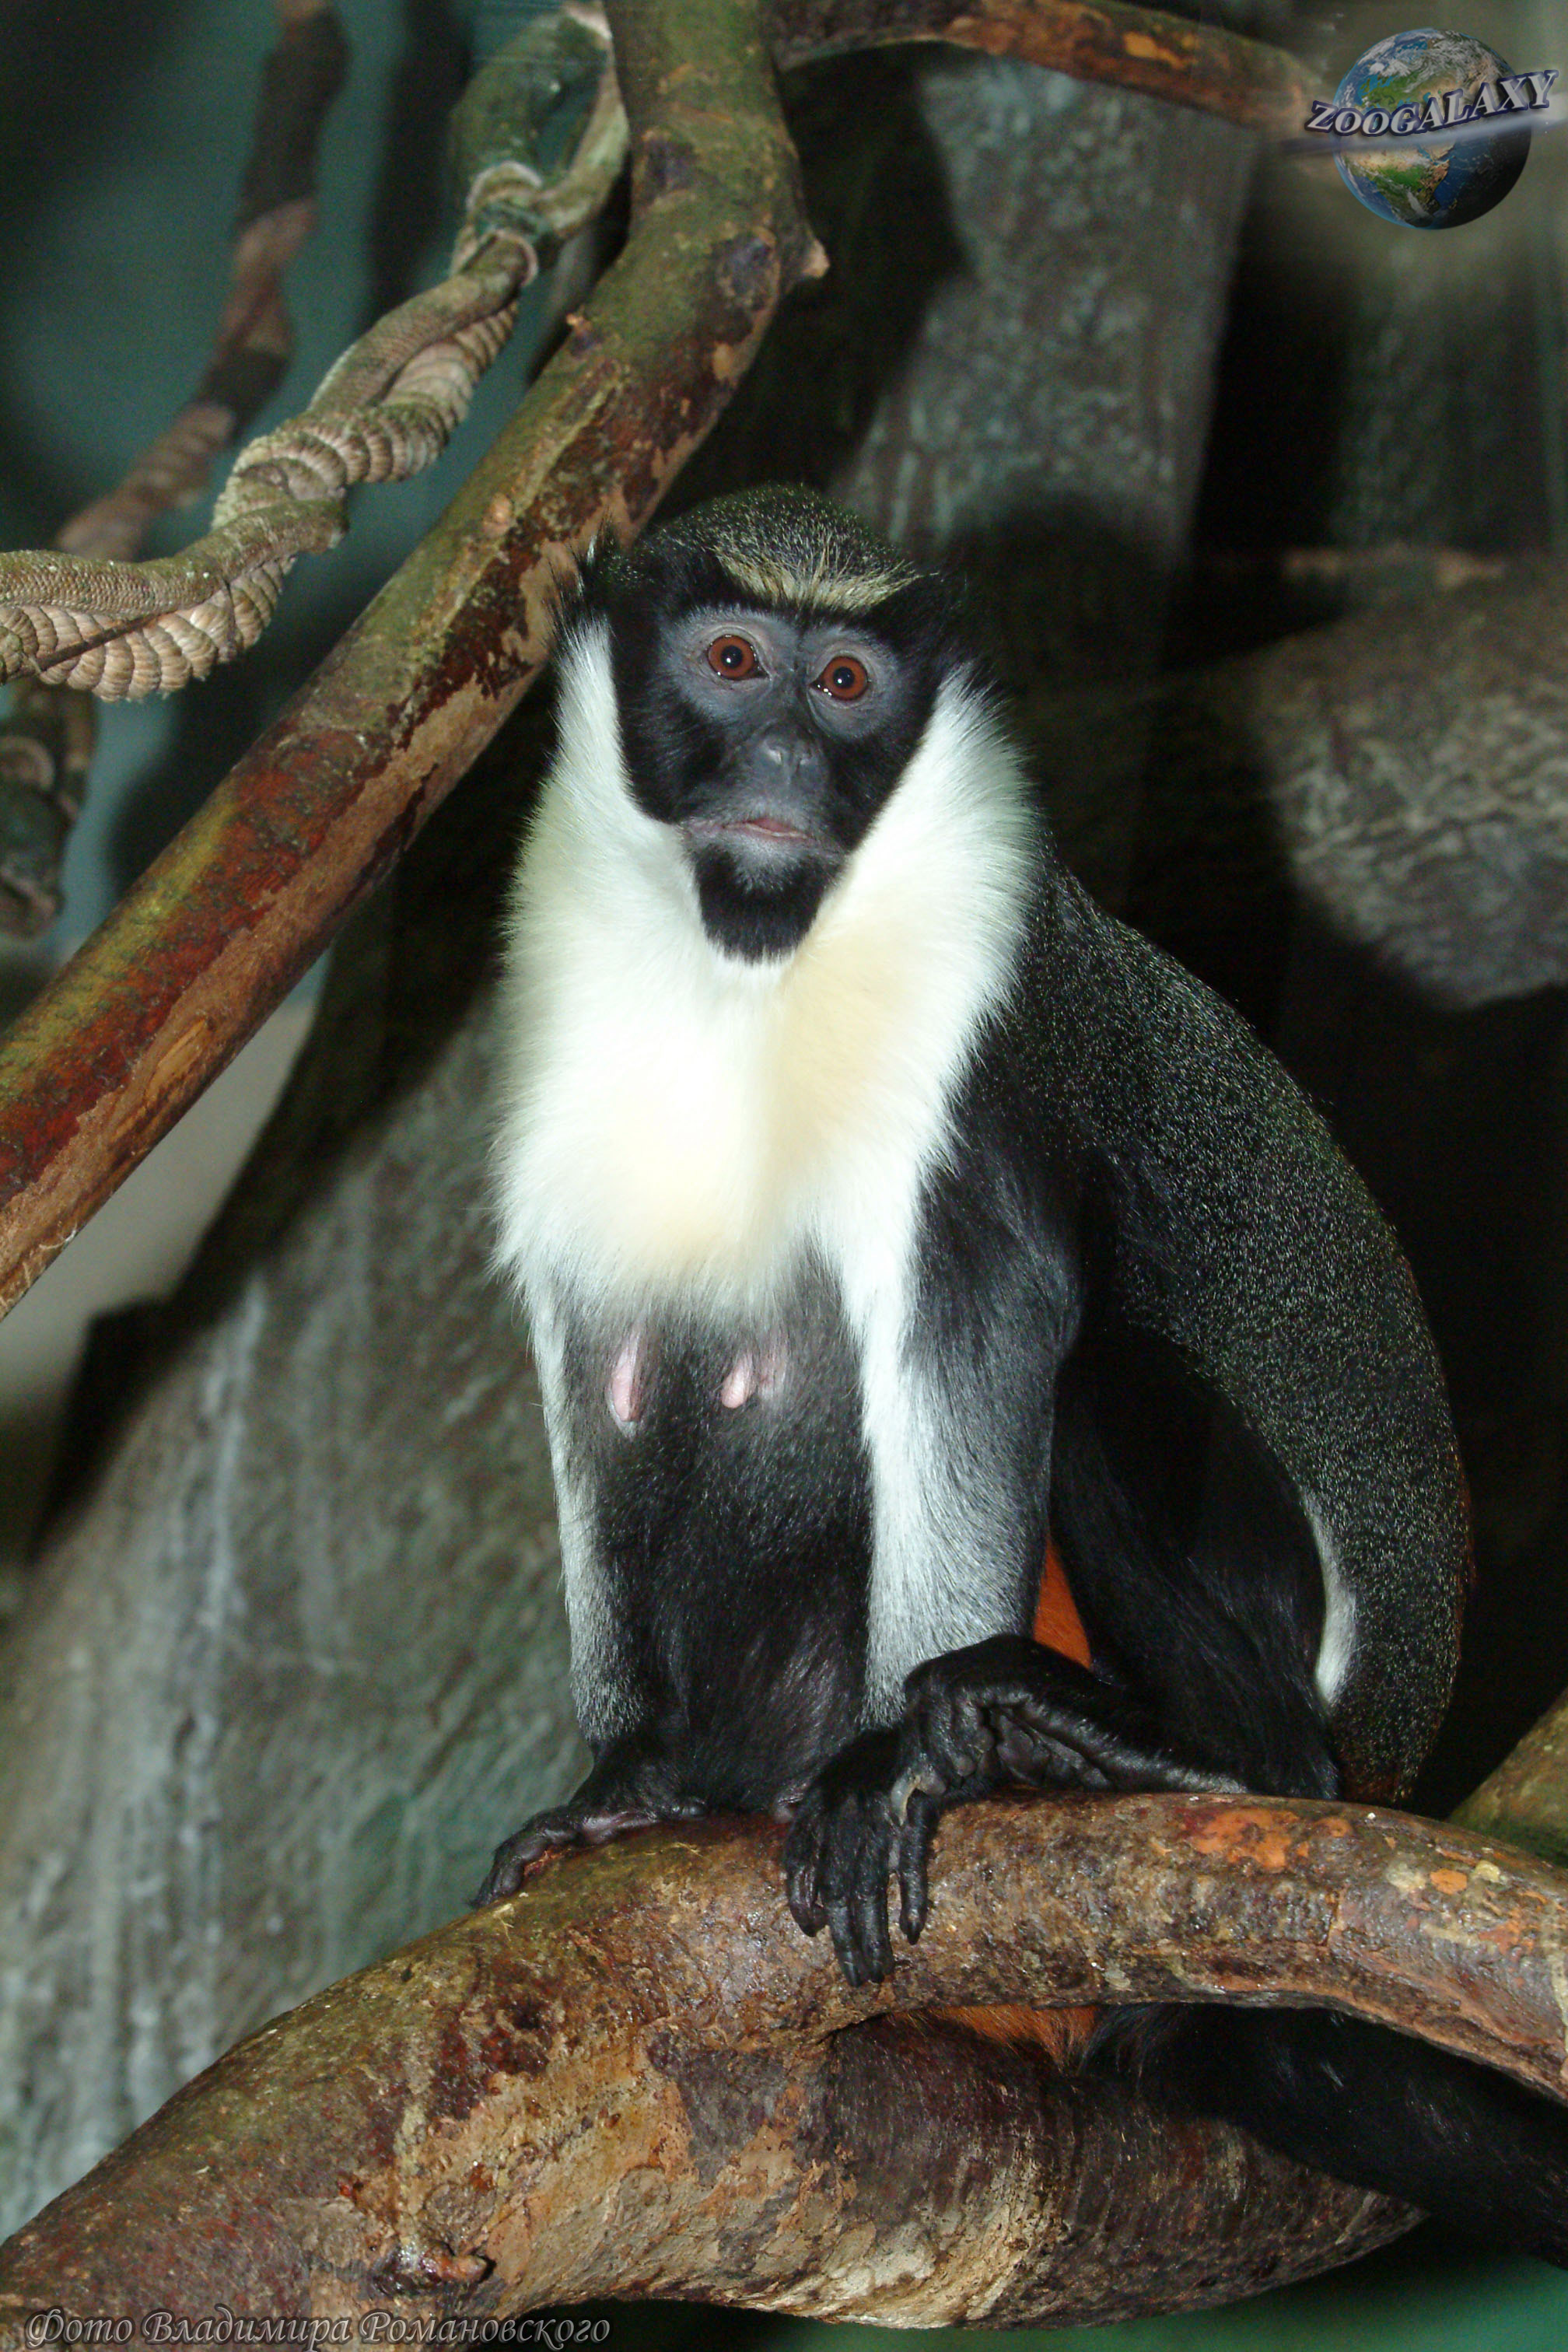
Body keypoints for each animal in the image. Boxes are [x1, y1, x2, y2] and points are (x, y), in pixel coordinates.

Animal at [479, 483, 1568, 2262]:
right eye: (732, 662)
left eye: (848, 685)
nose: (782, 761)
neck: (753, 969)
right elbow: (616, 1376)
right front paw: (630, 1777)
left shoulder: (976, 1044)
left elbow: (988, 1324)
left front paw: (892, 1761)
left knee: (1109, 1390)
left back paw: (1170, 1755)